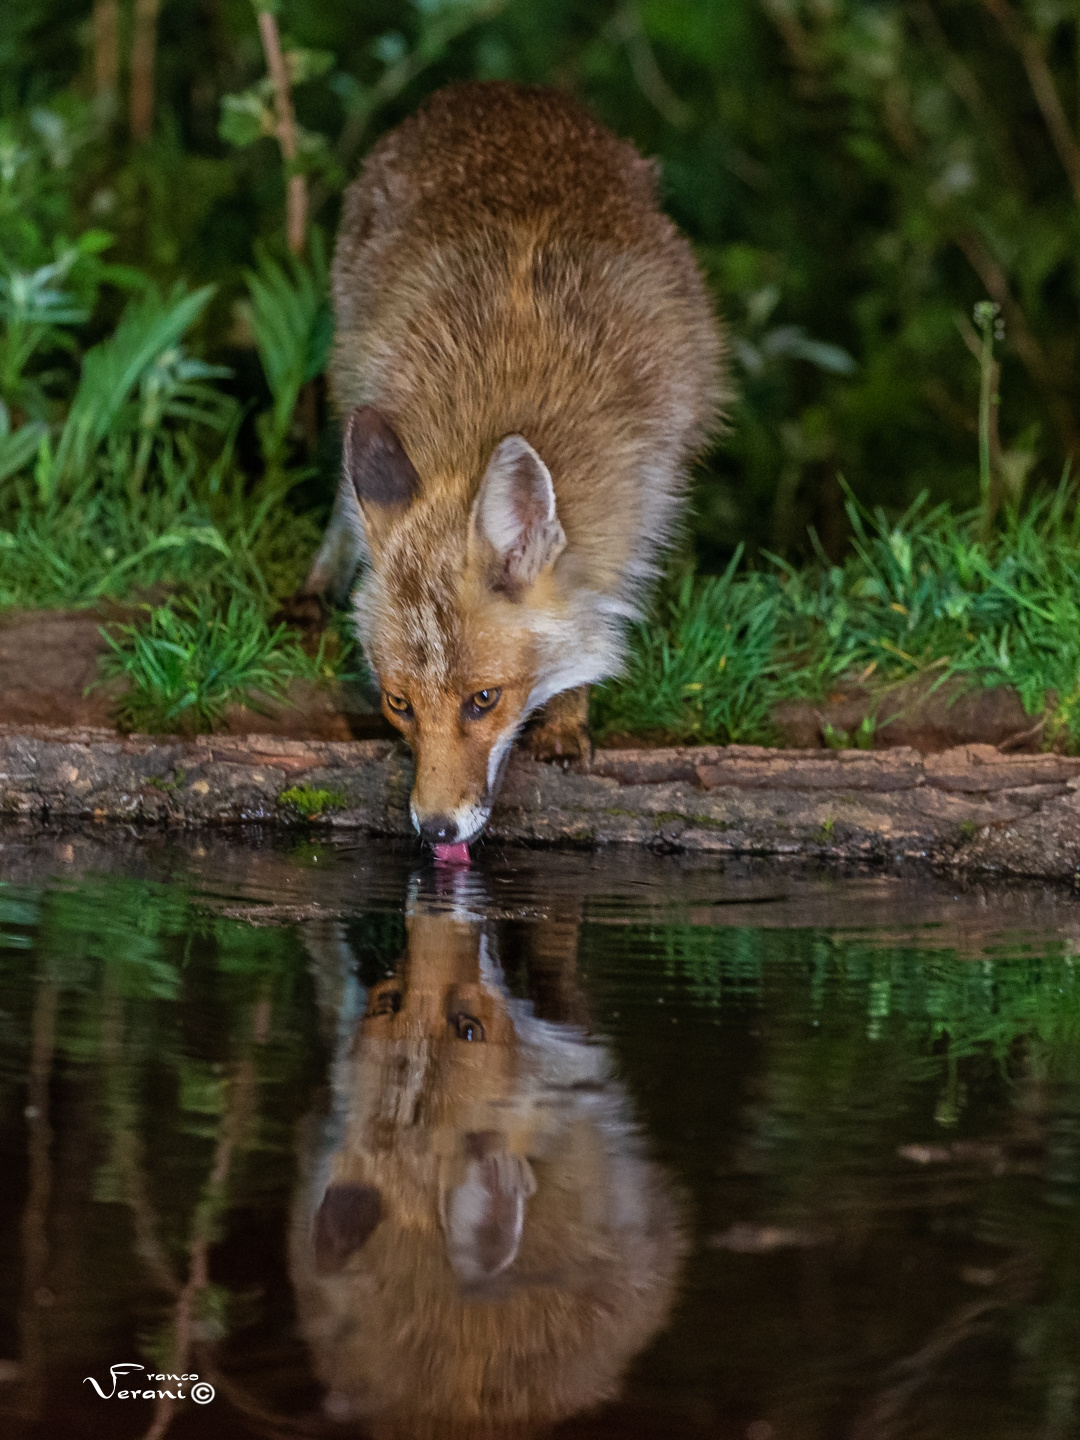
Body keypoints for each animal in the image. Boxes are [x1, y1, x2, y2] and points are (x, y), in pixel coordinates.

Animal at [307, 81, 726, 851]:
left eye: (484, 700)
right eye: (398, 703)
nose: (436, 828)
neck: (505, 405)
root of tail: (500, 90)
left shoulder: (644, 498)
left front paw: (566, 718)